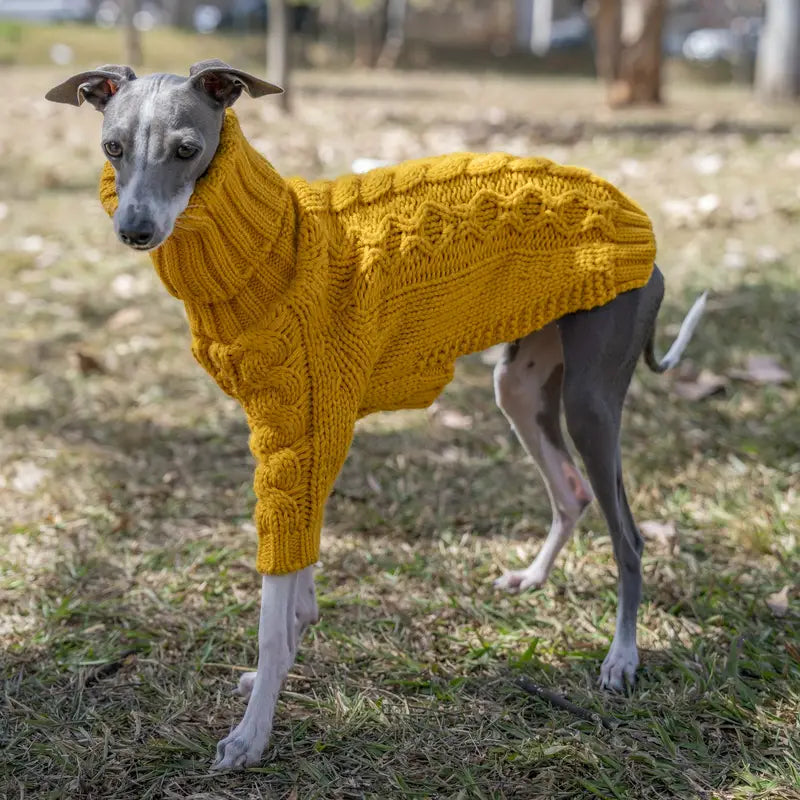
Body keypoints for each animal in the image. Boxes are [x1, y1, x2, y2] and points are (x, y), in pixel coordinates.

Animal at [45, 62, 708, 768]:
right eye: (113, 147)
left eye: (187, 150)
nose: (134, 230)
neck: (273, 246)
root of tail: (639, 221)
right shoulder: (301, 442)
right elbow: (299, 585)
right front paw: (284, 664)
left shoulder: (301, 433)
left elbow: (276, 610)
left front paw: (252, 733)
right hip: (521, 386)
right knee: (571, 491)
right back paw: (531, 578)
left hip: (590, 400)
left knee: (629, 538)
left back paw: (621, 658)